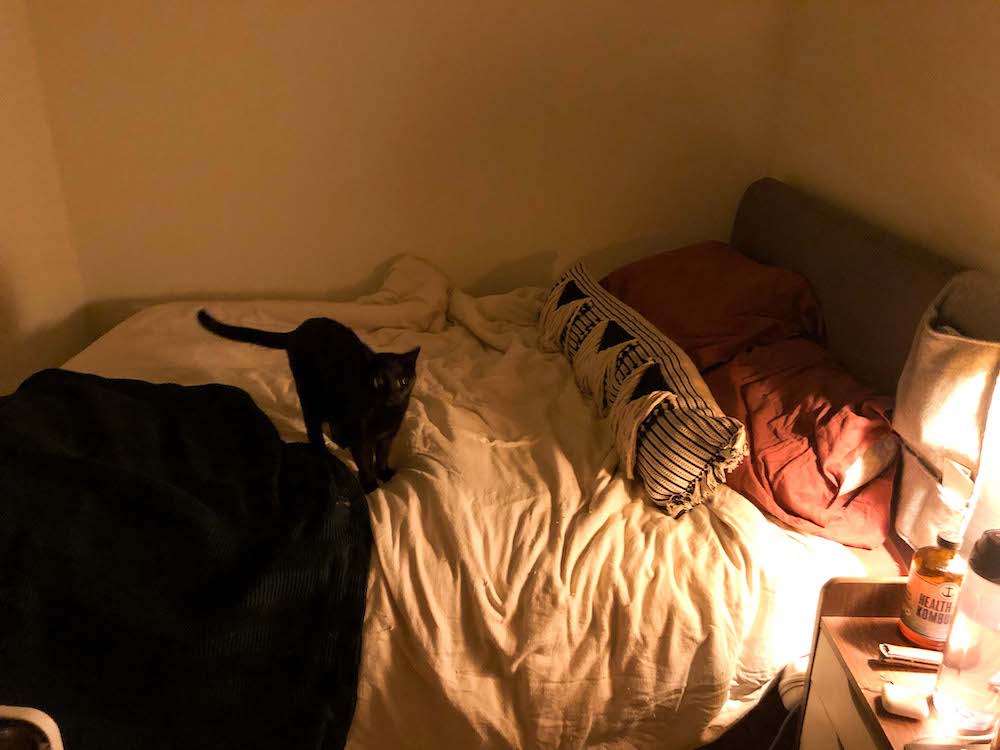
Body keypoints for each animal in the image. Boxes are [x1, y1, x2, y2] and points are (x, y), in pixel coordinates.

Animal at [195, 310, 418, 494]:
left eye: (402, 381)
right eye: (378, 381)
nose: (393, 395)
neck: (384, 412)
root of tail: (296, 330)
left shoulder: (388, 435)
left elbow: (383, 455)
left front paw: (385, 473)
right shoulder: (362, 436)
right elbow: (364, 461)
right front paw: (371, 485)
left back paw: (340, 441)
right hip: (310, 395)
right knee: (313, 427)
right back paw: (324, 452)